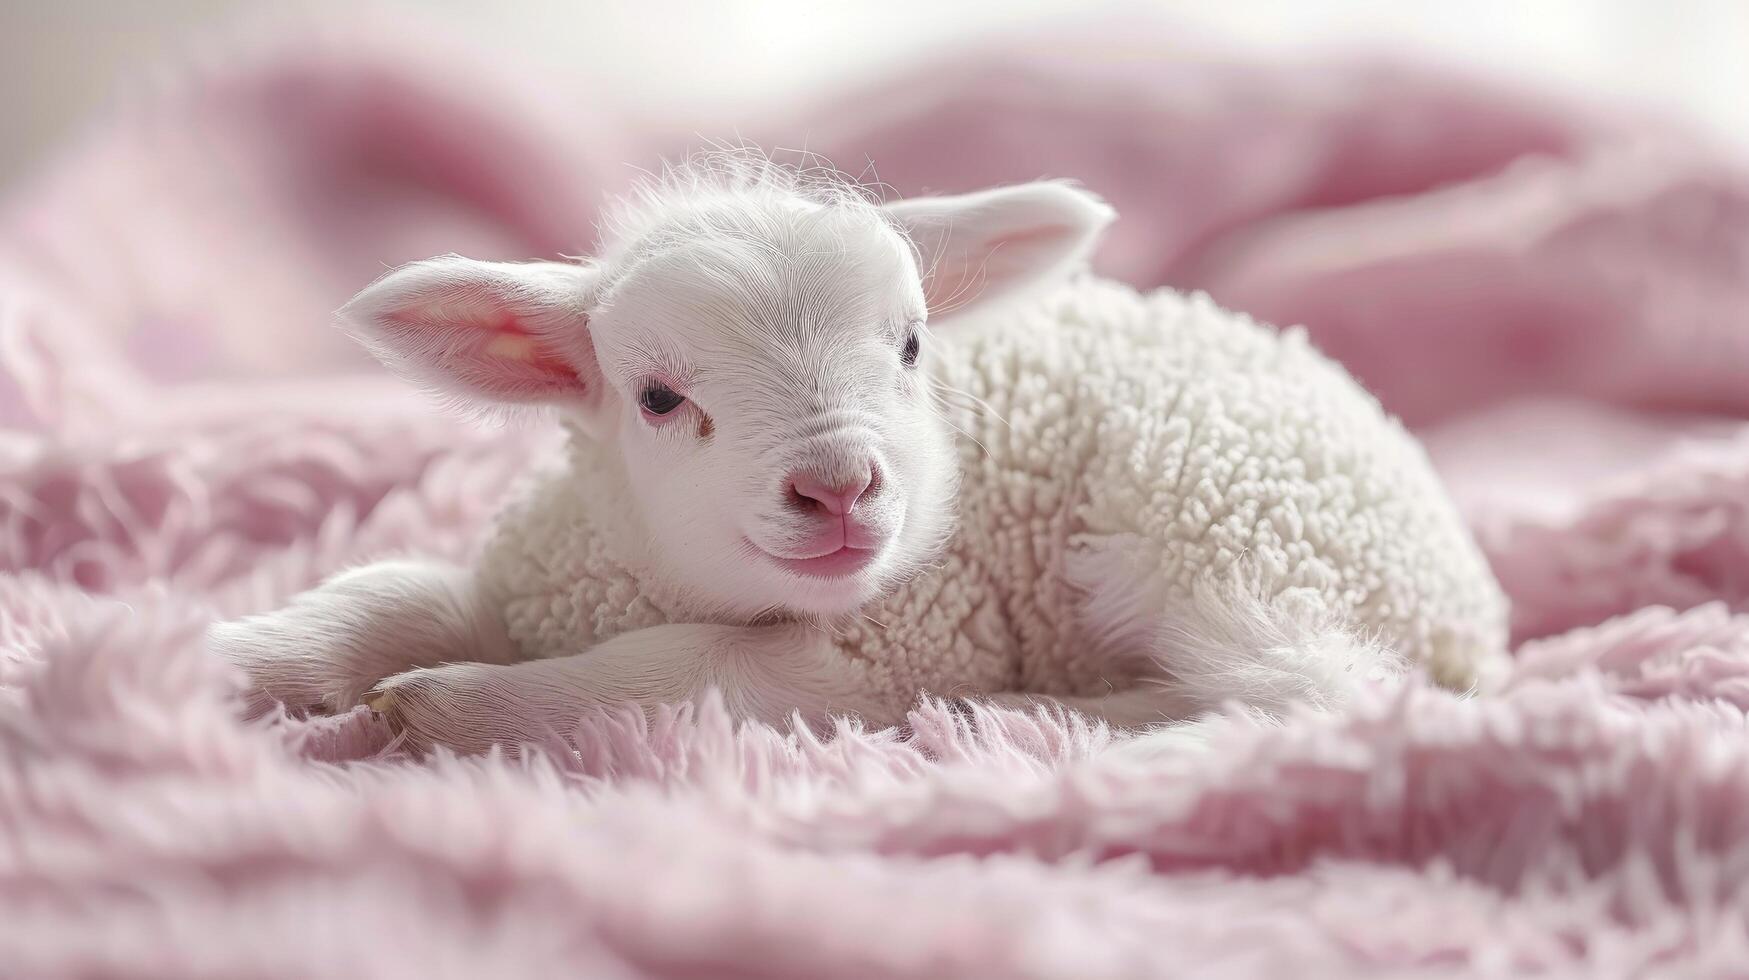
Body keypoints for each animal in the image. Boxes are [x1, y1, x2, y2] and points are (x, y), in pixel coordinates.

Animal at [215, 153, 1504, 749]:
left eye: (913, 344)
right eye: (658, 396)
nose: (839, 486)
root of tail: (1467, 603)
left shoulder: (876, 649)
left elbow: (677, 672)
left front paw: (449, 704)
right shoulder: (552, 572)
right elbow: (391, 593)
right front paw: (234, 657)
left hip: (1221, 521)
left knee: (1300, 691)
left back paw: (1043, 718)